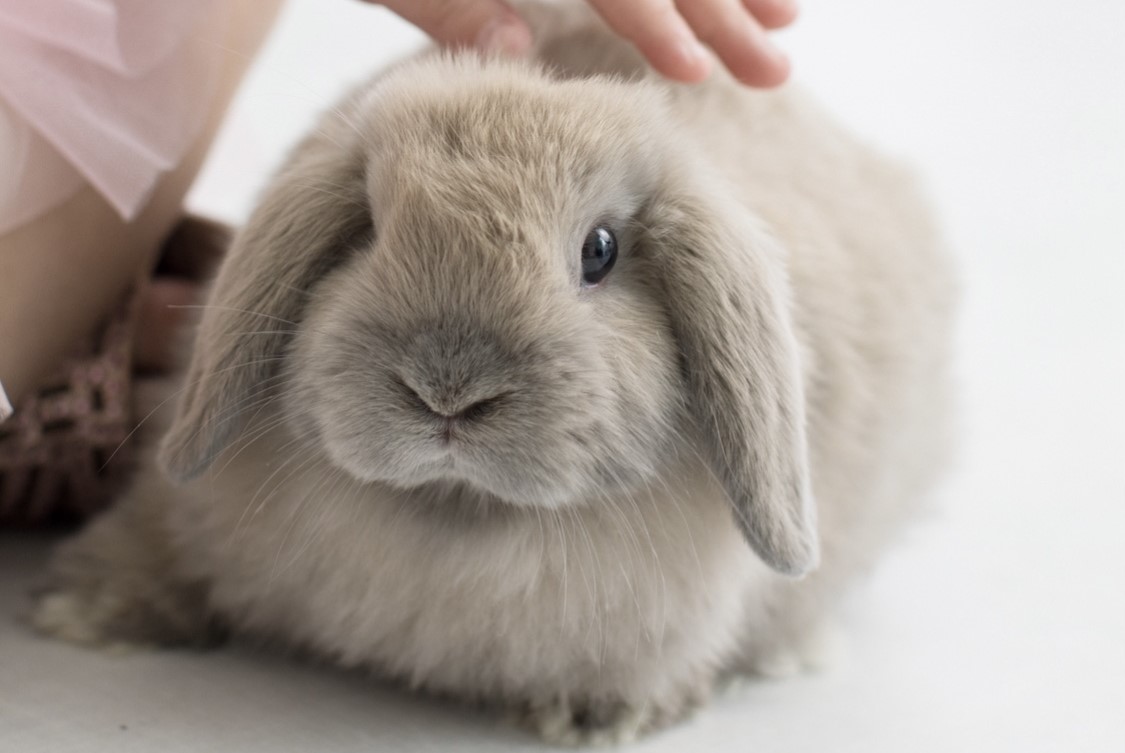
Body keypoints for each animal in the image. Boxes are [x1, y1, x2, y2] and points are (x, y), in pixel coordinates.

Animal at [31, 1, 956, 744]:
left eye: (600, 251)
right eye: (369, 229)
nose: (446, 388)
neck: (454, 512)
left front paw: (590, 718)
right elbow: (154, 551)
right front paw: (81, 608)